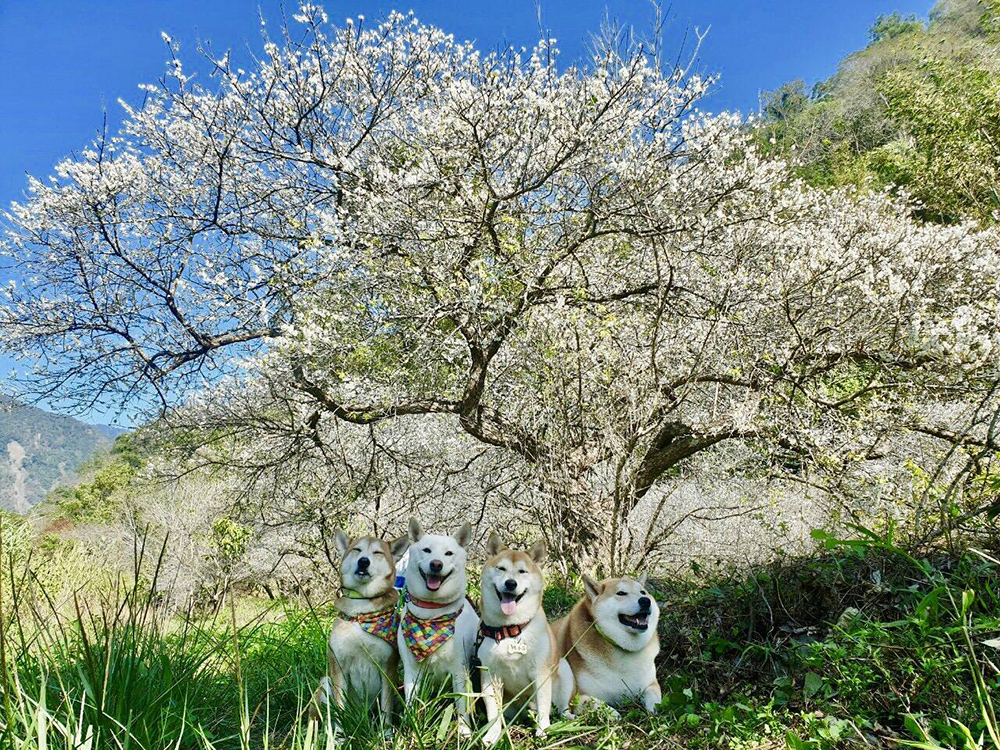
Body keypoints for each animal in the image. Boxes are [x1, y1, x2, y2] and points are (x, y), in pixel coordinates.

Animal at [308, 532, 410, 724]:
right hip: (325, 683)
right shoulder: (339, 666)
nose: (363, 561)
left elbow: (386, 708)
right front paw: (338, 732)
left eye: (377, 552)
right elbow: (339, 710)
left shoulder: (388, 669)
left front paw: (386, 731)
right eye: (357, 549)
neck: (361, 608)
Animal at [396, 520, 478, 736]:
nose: (436, 564)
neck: (432, 616)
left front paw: (464, 731)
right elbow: (410, 702)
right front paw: (411, 728)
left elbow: (462, 704)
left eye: (448, 553)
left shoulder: (459, 670)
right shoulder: (411, 671)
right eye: (427, 550)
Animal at [474, 536, 572, 748]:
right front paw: (492, 734)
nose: (511, 583)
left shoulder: (541, 673)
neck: (510, 629)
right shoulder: (489, 675)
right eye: (501, 568)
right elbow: (493, 712)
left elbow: (543, 707)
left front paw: (542, 732)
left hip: (564, 669)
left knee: (559, 707)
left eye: (522, 571)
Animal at [556, 576, 664, 716]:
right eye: (621, 593)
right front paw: (614, 714)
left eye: (643, 592)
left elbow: (654, 697)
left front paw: (655, 710)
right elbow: (598, 704)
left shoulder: (651, 684)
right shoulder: (579, 698)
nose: (646, 601)